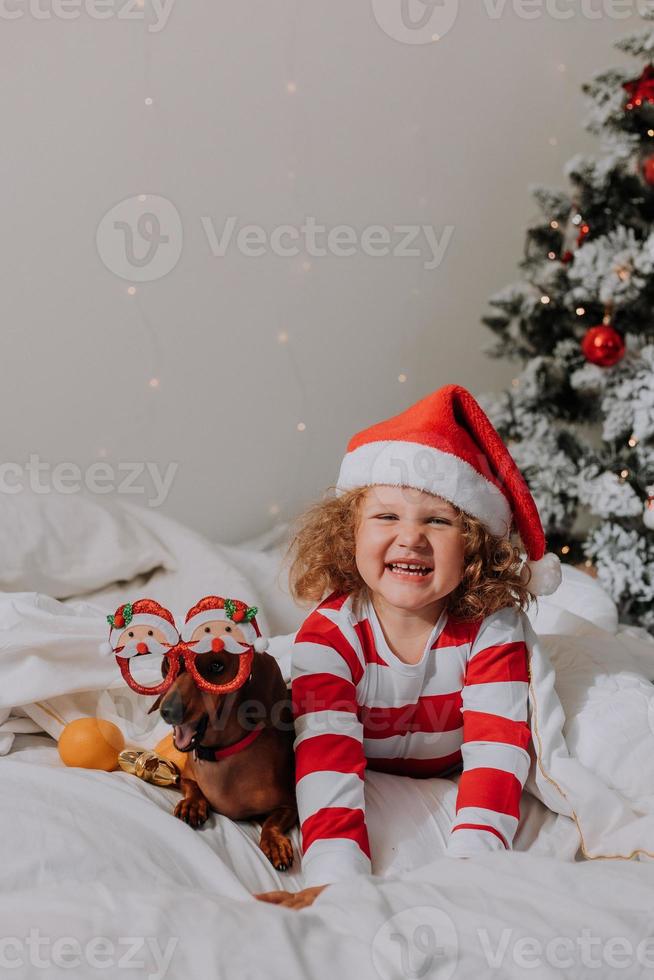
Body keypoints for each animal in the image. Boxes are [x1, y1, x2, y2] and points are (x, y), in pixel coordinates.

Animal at [151, 624, 298, 868]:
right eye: (171, 665)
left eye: (216, 666)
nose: (168, 711)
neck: (220, 754)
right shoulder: (184, 776)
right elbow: (192, 786)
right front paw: (192, 804)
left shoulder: (289, 805)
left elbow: (272, 822)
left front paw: (274, 842)